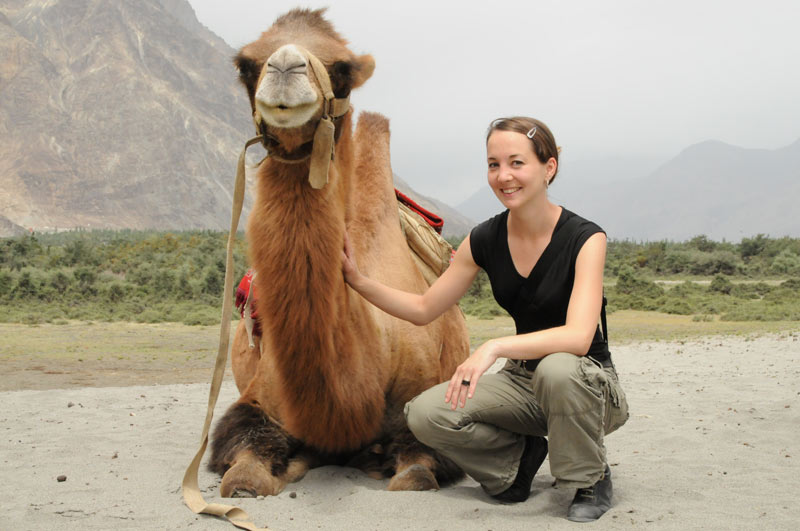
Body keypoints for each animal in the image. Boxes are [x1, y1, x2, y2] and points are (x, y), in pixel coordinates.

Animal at [206, 8, 472, 498]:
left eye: (344, 71)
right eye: (246, 65)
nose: (285, 68)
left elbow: (416, 474)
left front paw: (378, 461)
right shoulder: (259, 399)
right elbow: (242, 474)